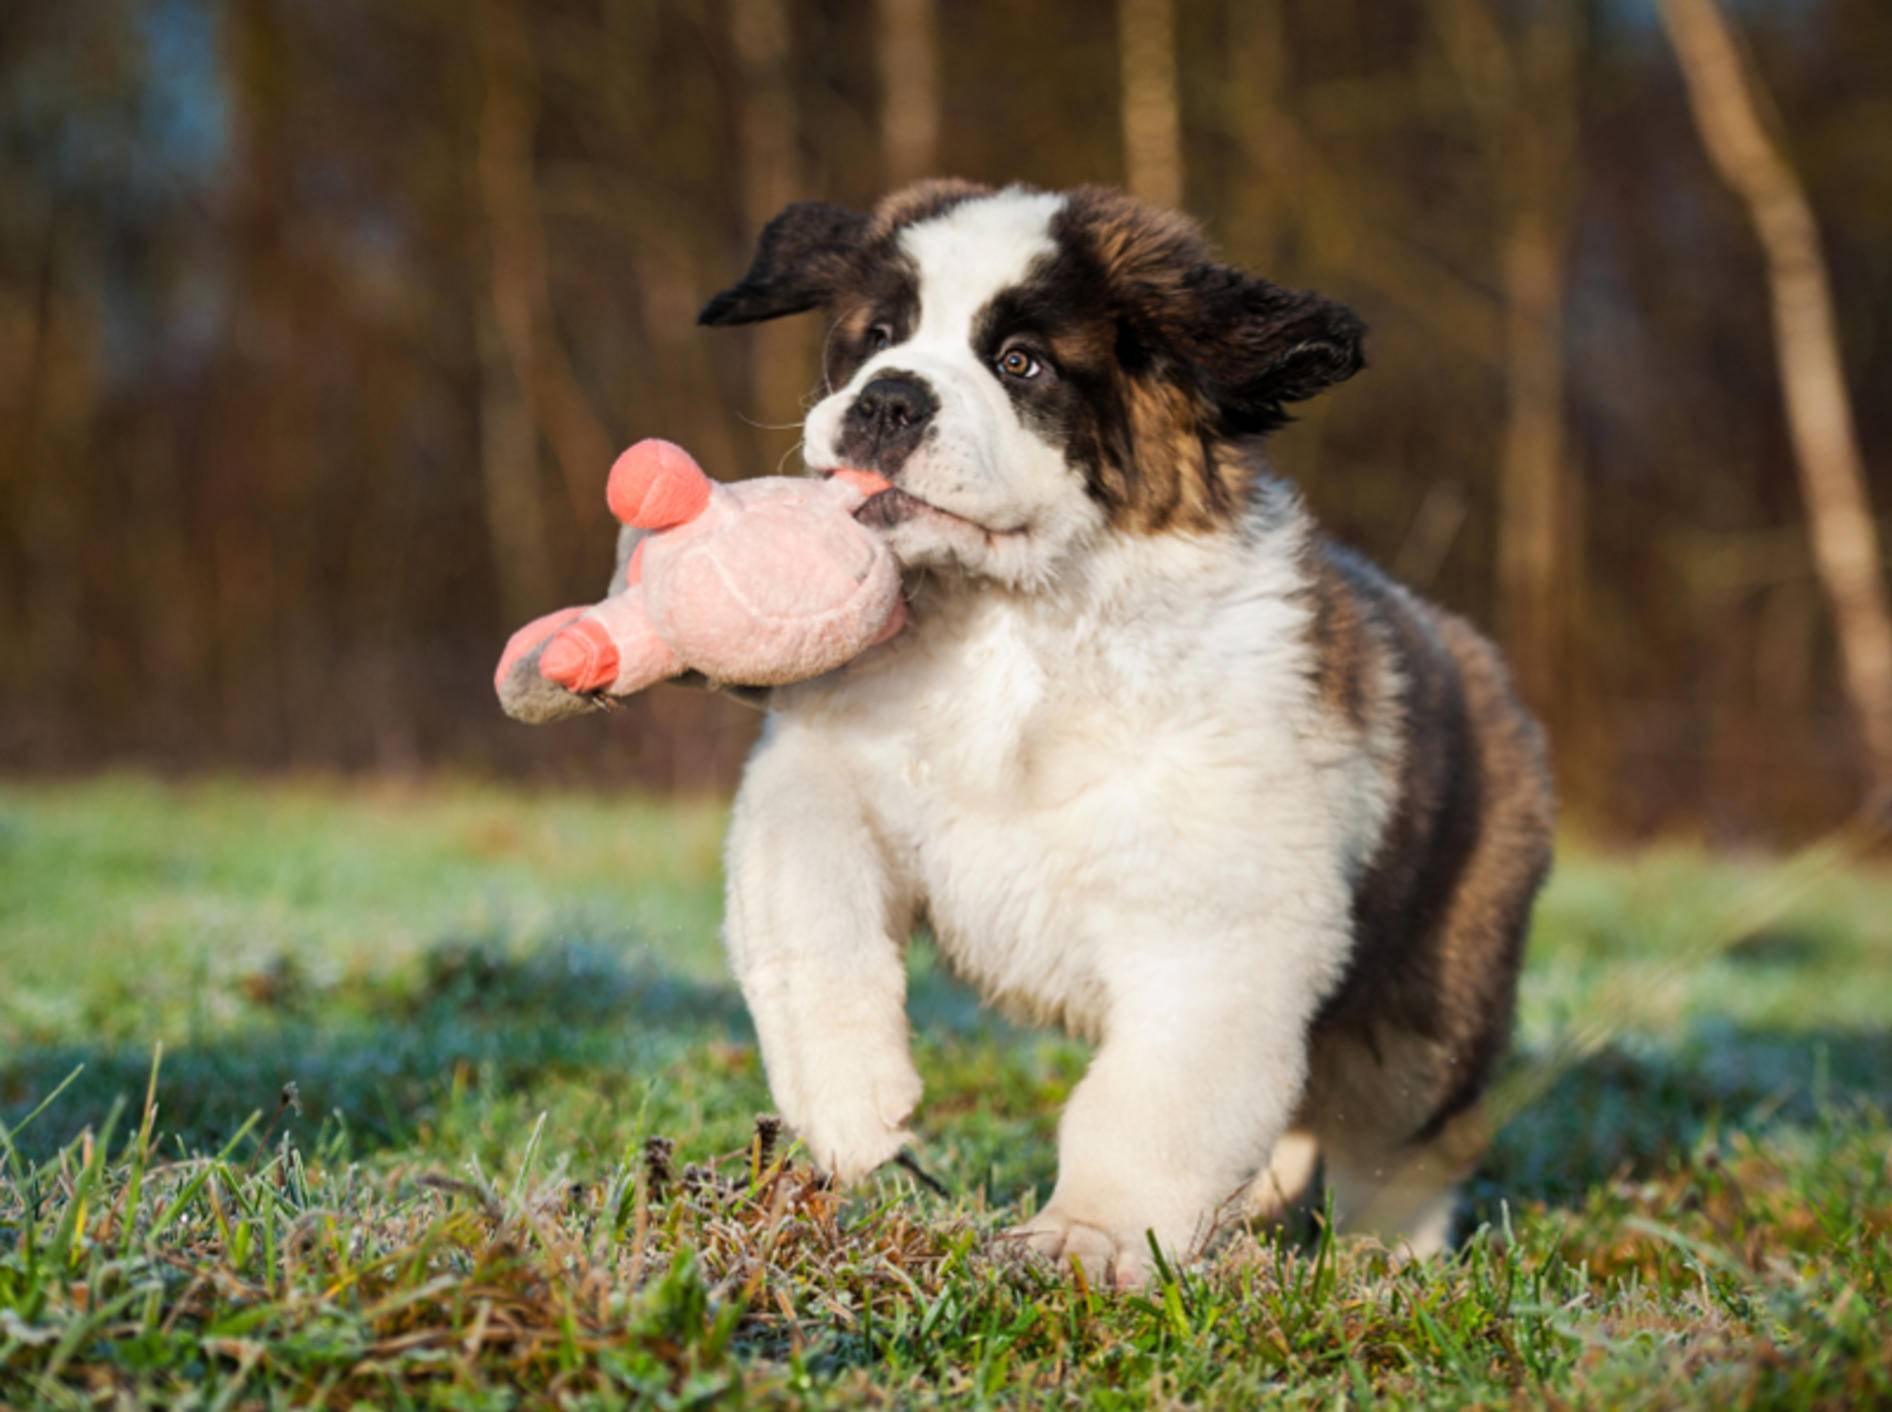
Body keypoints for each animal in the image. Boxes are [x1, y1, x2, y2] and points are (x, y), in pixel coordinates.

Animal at [696, 181, 1551, 1279]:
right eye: (877, 338)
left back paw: (1385, 1262)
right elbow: (809, 913)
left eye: (1021, 363)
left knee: (1403, 1139)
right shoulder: (819, 772)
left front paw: (1087, 1238)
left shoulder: (1219, 924)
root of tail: (1480, 663)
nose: (889, 399)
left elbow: (1151, 1103)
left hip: (1426, 1006)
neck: (1013, 623)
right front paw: (846, 1102)